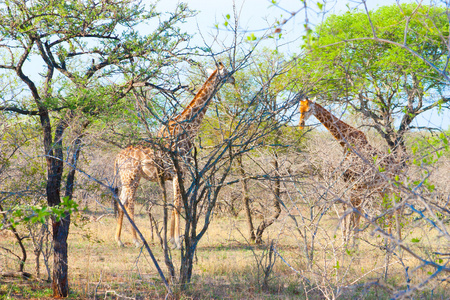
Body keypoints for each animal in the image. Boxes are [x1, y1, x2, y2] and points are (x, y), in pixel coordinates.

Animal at [114, 62, 236, 247]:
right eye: (227, 72)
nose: (234, 79)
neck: (188, 130)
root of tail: (117, 157)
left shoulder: (174, 175)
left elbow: (173, 204)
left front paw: (171, 239)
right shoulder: (181, 173)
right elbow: (178, 204)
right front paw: (178, 242)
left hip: (128, 178)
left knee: (121, 202)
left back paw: (119, 240)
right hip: (132, 177)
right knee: (129, 204)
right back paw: (136, 241)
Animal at [298, 97, 404, 240]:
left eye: (309, 109)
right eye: (299, 109)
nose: (301, 124)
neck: (346, 143)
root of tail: (400, 167)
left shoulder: (357, 185)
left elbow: (356, 213)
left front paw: (352, 243)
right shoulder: (349, 184)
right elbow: (351, 212)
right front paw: (347, 242)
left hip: (393, 186)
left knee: (396, 208)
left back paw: (397, 242)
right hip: (382, 188)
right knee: (389, 208)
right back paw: (387, 241)